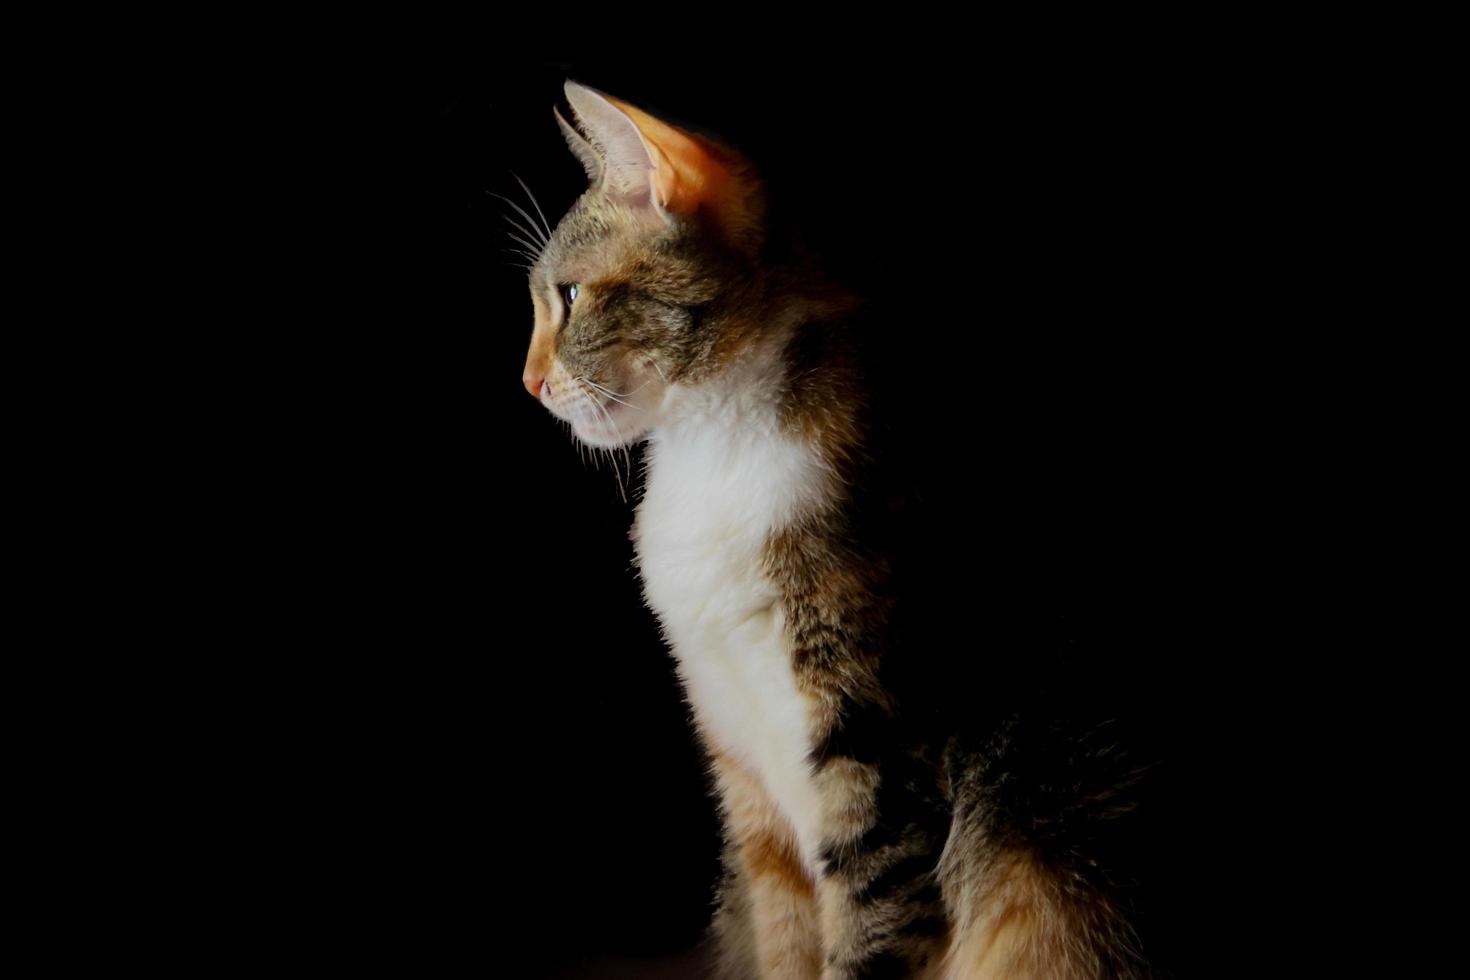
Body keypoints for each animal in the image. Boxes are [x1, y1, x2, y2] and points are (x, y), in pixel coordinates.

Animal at [517, 80, 1170, 975]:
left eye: (572, 296)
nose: (528, 381)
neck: (714, 449)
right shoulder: (749, 787)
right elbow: (785, 934)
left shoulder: (879, 751)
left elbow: (870, 922)